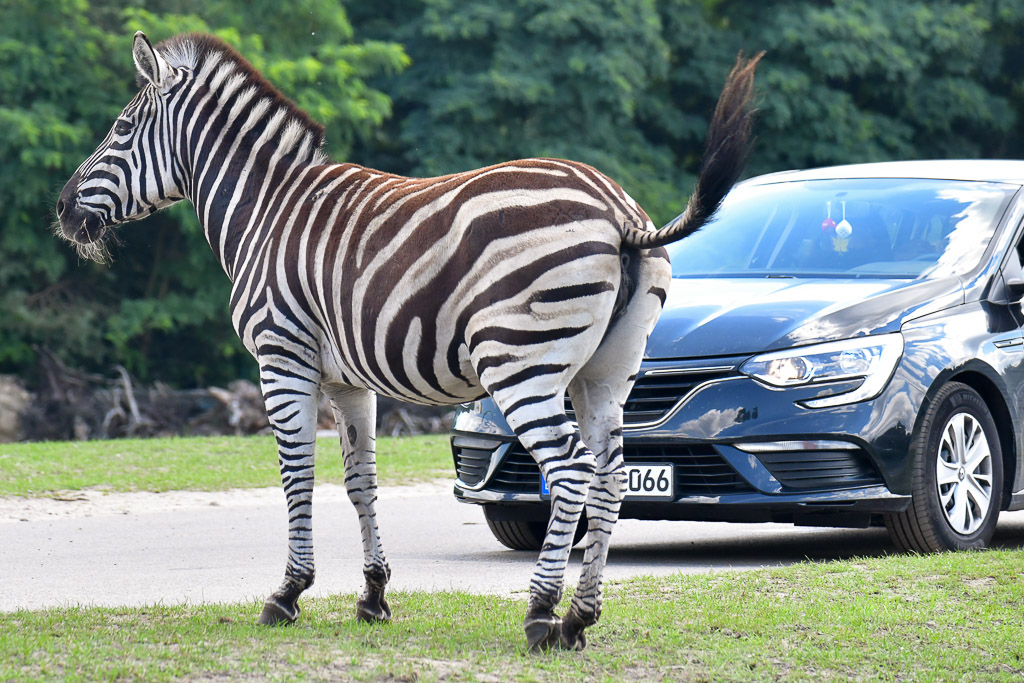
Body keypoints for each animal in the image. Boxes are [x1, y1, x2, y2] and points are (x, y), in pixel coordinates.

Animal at [56, 31, 759, 651]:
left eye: (121, 128)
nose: (61, 210)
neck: (267, 210)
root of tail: (619, 211)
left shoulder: (283, 357)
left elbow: (296, 475)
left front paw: (287, 594)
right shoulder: (349, 380)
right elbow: (360, 480)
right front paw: (372, 596)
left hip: (520, 361)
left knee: (570, 470)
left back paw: (541, 615)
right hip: (607, 371)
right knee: (611, 474)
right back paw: (581, 617)